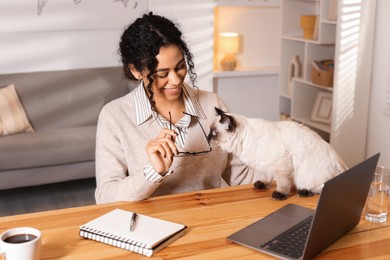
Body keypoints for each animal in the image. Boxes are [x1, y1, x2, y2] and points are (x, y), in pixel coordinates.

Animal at [207, 106, 348, 200]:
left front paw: (279, 194)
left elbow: (282, 183)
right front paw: (262, 184)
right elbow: (267, 177)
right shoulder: (266, 164)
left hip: (306, 175)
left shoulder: (281, 165)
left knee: (320, 187)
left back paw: (304, 192)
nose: (207, 138)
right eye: (209, 132)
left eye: (214, 133)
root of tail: (340, 162)